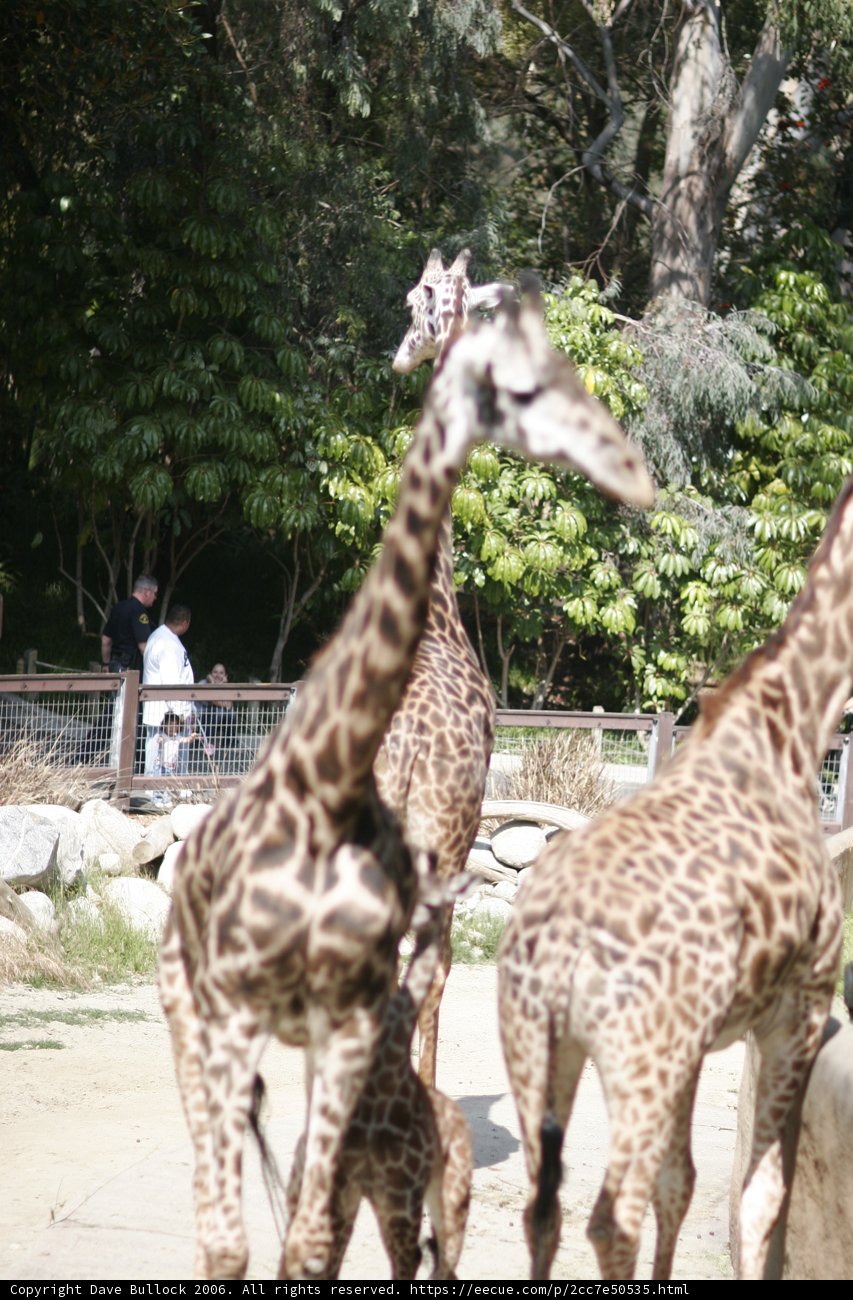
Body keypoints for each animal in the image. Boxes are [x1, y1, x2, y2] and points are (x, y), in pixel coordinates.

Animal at [498, 481, 851, 1282]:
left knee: (544, 1210)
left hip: (541, 1044)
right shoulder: (799, 1008)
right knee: (608, 1217)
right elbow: (760, 1199)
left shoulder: (698, 1043)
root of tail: (556, 943)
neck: (793, 720)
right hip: (638, 1054)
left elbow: (680, 1181)